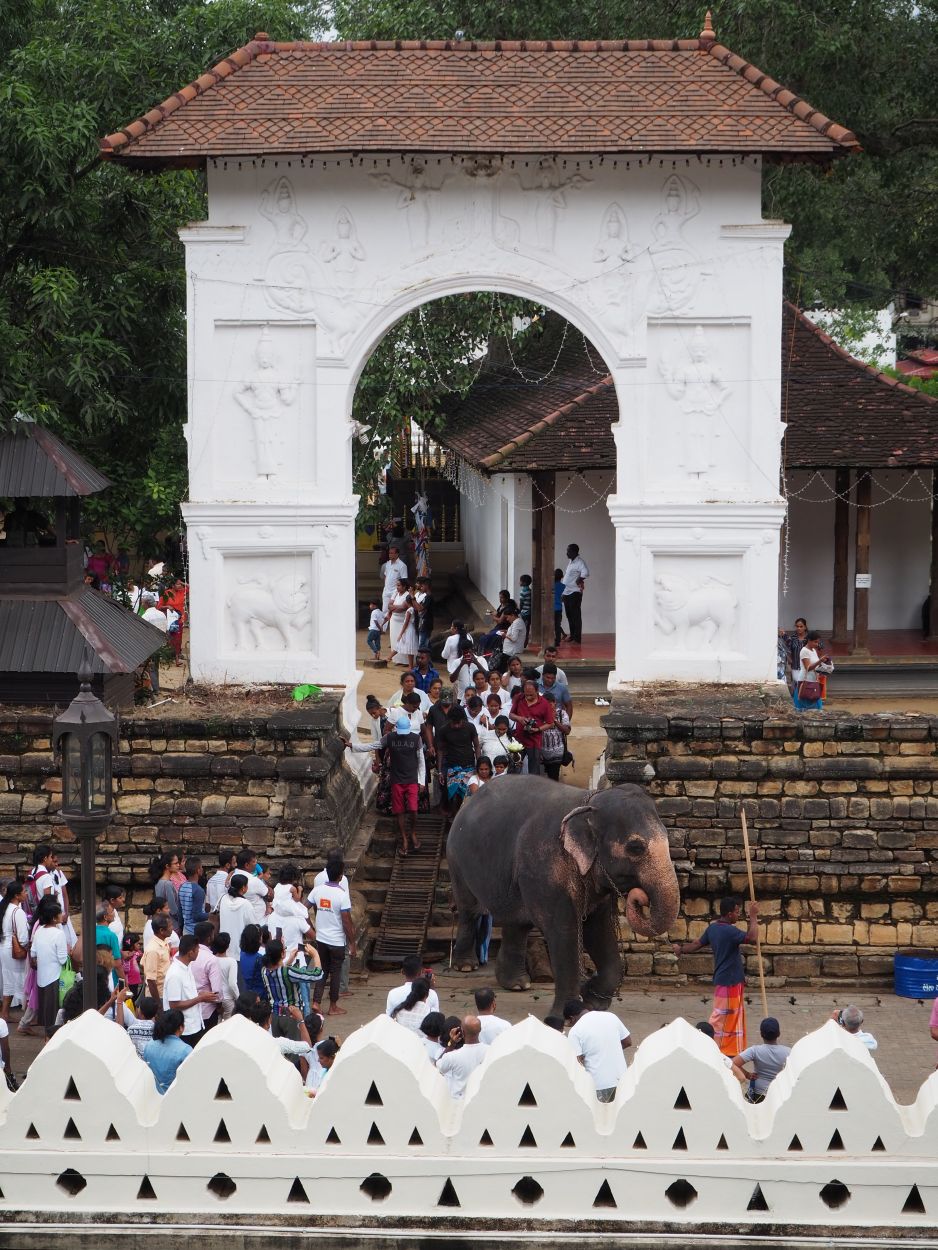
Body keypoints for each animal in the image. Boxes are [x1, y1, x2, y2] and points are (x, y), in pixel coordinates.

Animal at [450, 780, 685, 1015]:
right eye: (635, 848)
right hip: (458, 861)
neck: (589, 802)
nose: (639, 898)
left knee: (516, 921)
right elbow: (563, 931)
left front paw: (592, 1002)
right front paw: (571, 1012)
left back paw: (517, 984)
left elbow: (598, 930)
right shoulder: (544, 867)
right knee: (470, 909)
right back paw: (466, 966)